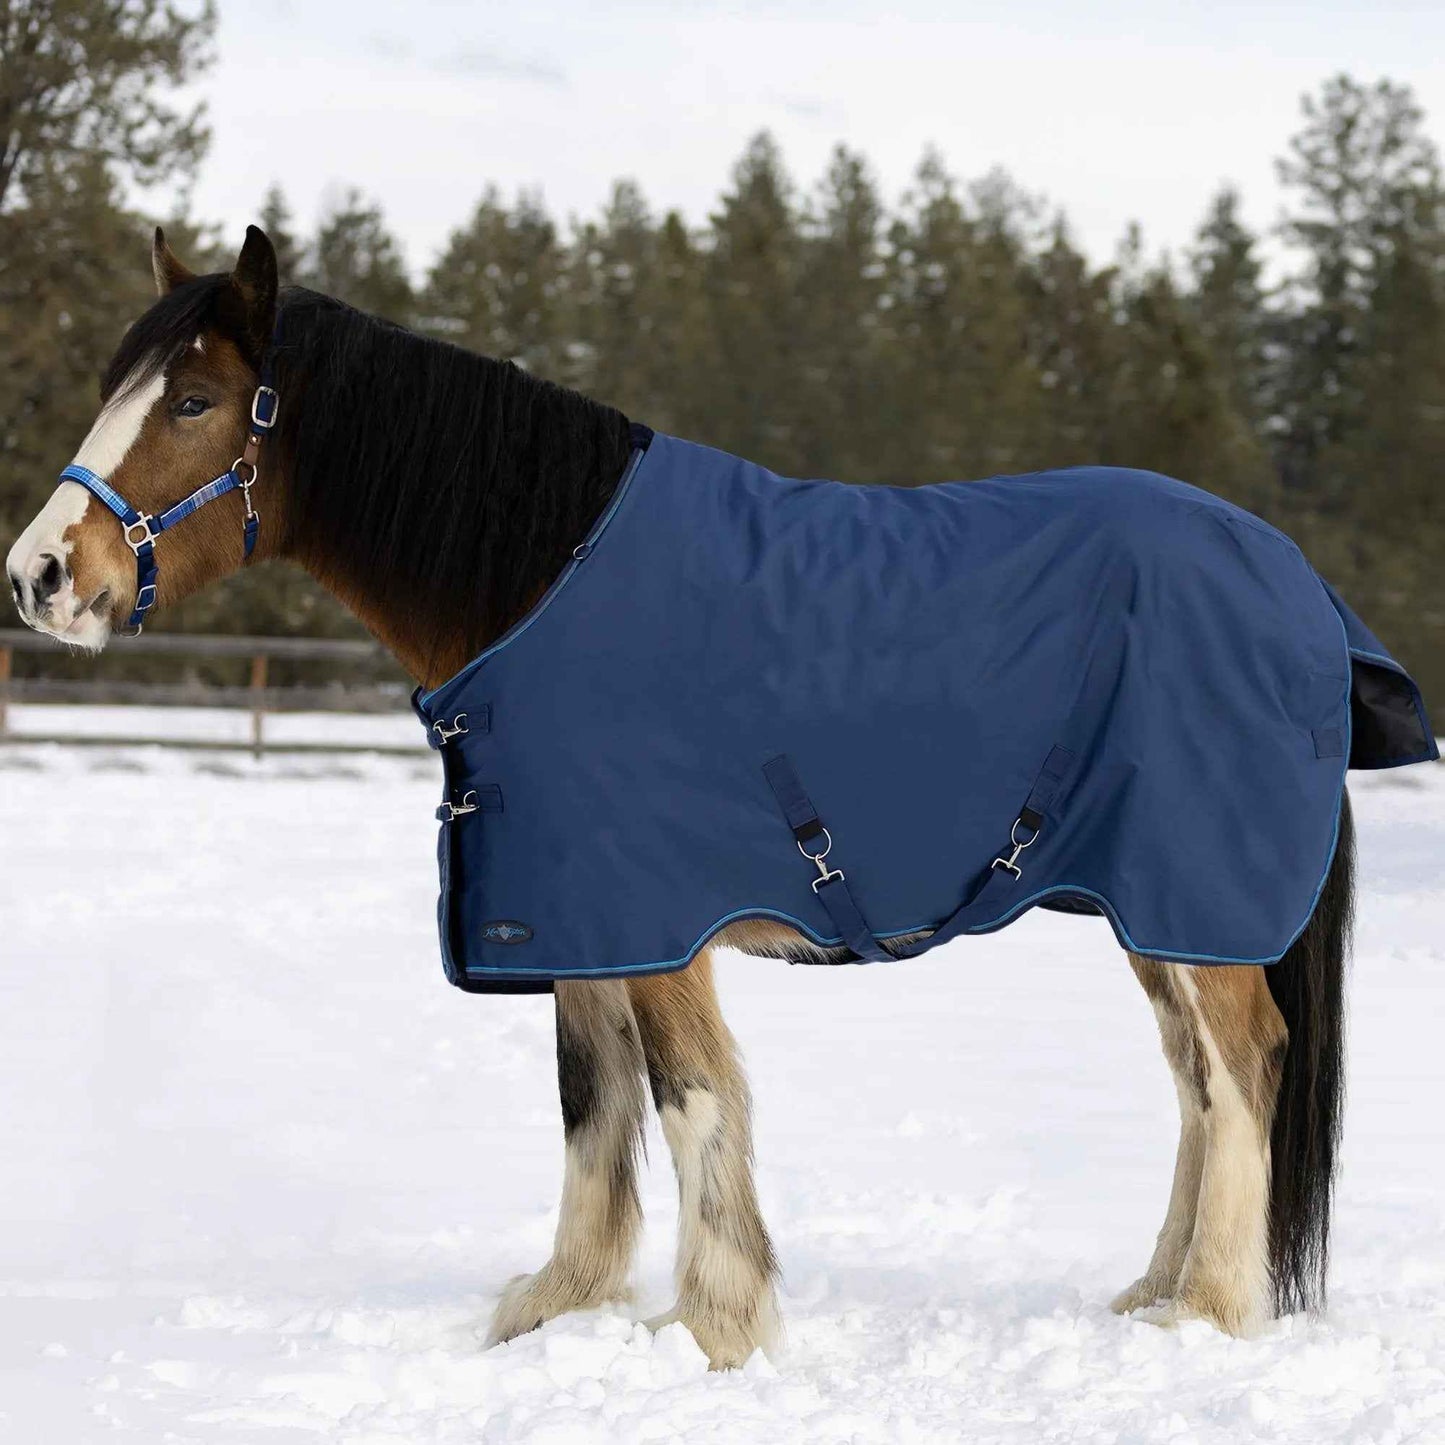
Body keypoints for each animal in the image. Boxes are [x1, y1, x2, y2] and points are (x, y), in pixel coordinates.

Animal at [5, 225, 1419, 1370]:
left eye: (194, 399)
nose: (39, 575)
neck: (543, 578)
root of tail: (1300, 590)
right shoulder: (574, 912)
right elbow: (591, 1104)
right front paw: (561, 1302)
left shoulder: (657, 914)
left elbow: (690, 1099)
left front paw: (714, 1325)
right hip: (1149, 907)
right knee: (1192, 1083)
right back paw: (1151, 1290)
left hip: (1193, 896)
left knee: (1241, 1066)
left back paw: (1212, 1311)